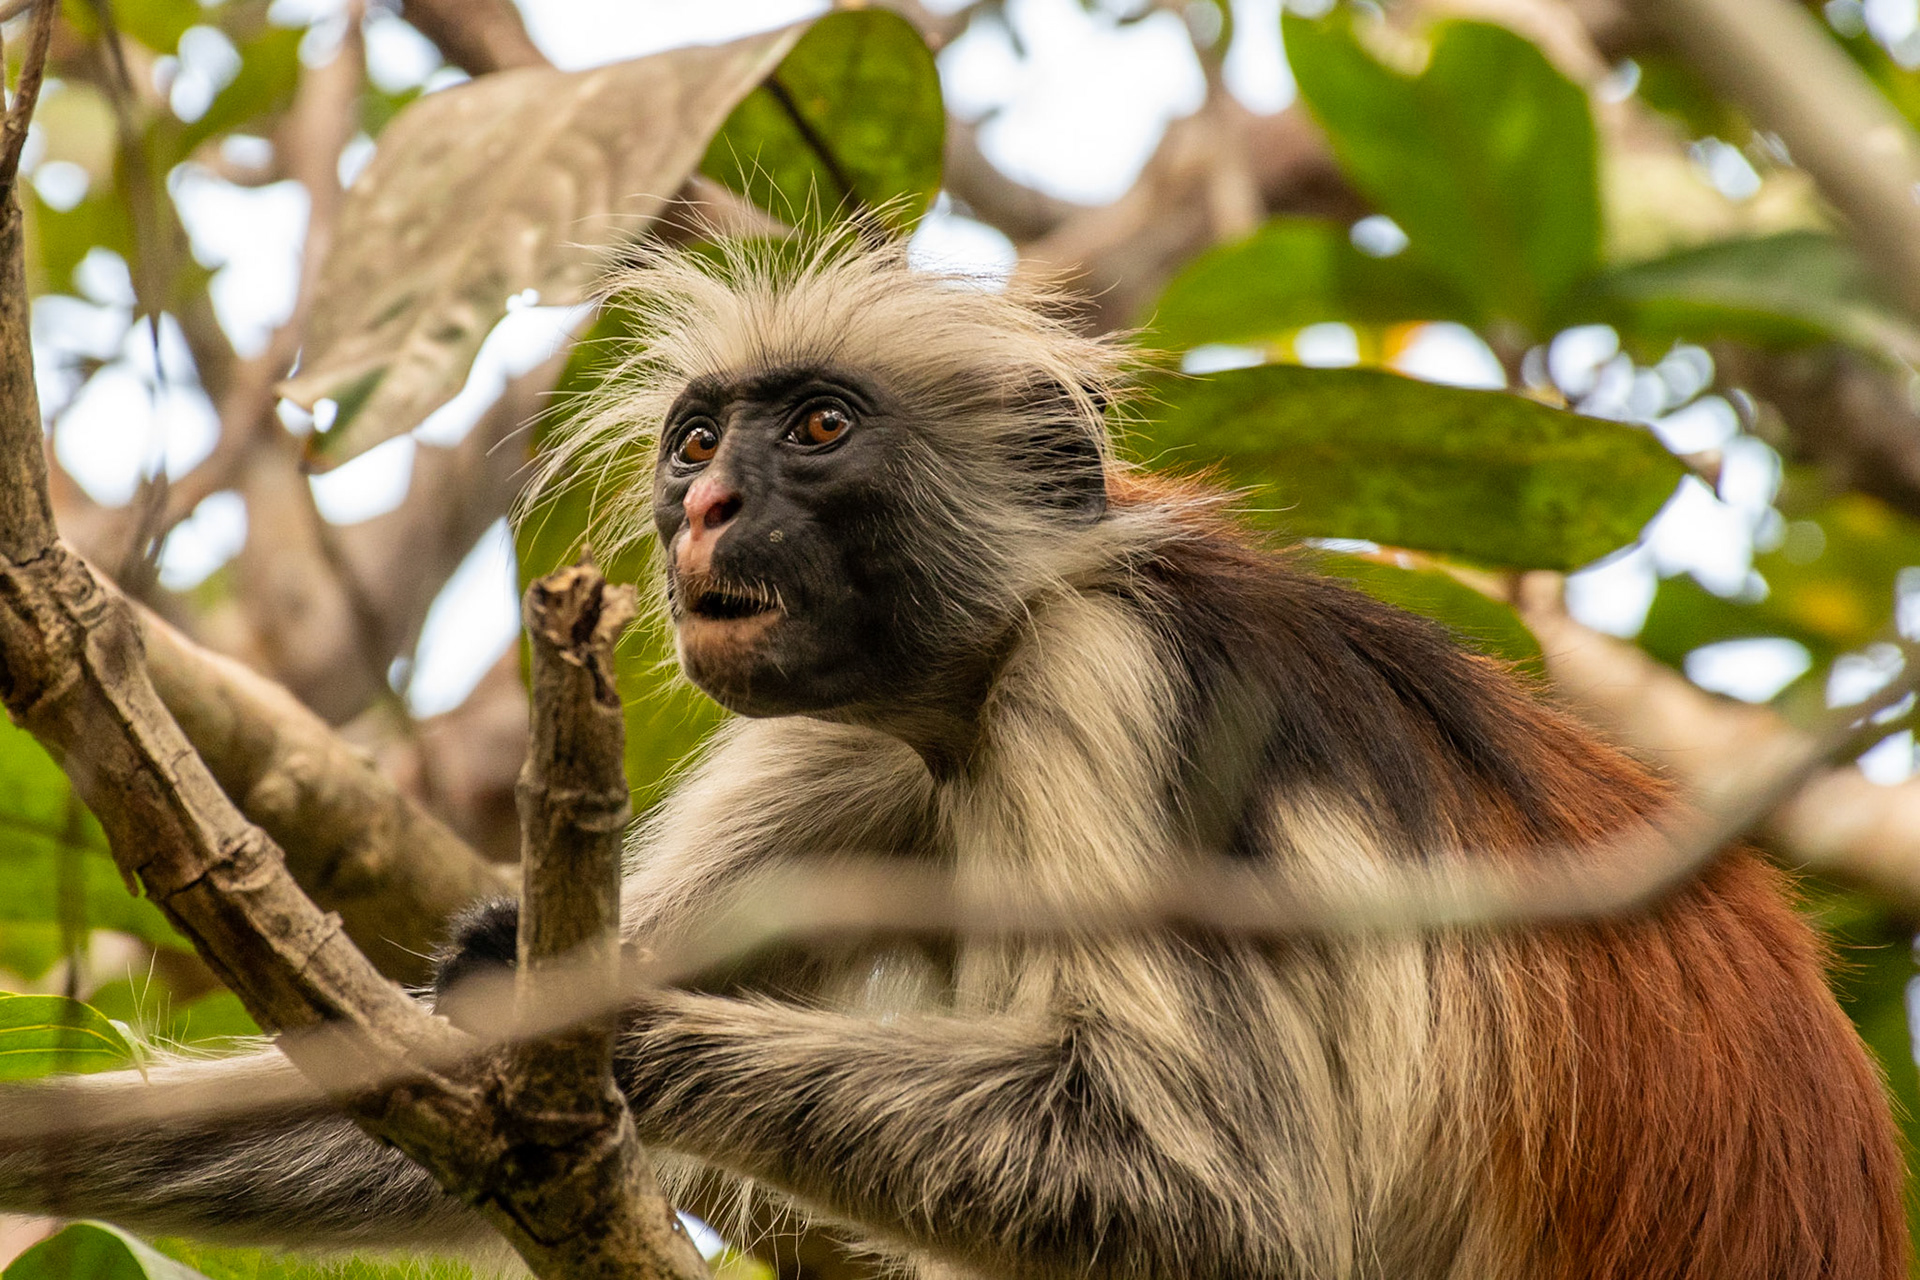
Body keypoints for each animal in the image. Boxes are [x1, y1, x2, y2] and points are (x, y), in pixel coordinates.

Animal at [0, 231, 1905, 1280]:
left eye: (820, 427)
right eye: (697, 437)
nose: (703, 506)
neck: (974, 685)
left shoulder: (1105, 684)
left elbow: (1225, 1205)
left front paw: (593, 1016)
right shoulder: (851, 754)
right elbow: (426, 1133)